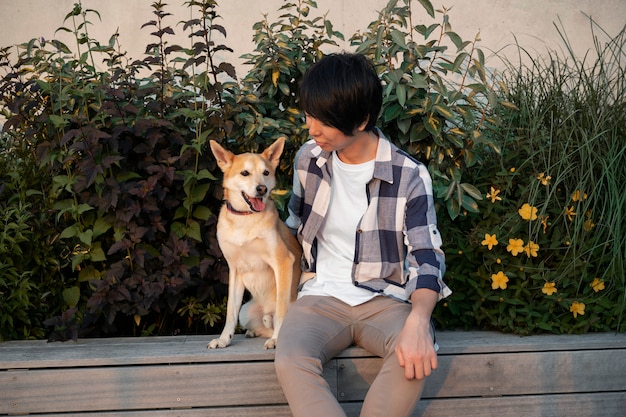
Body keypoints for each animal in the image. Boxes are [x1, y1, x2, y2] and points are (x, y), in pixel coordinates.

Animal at [206, 137, 302, 348]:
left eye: (266, 173)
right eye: (245, 173)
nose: (262, 189)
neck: (246, 218)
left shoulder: (283, 261)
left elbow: (281, 309)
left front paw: (277, 340)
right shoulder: (235, 270)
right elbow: (230, 312)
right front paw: (224, 339)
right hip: (246, 311)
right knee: (263, 325)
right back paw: (255, 330)